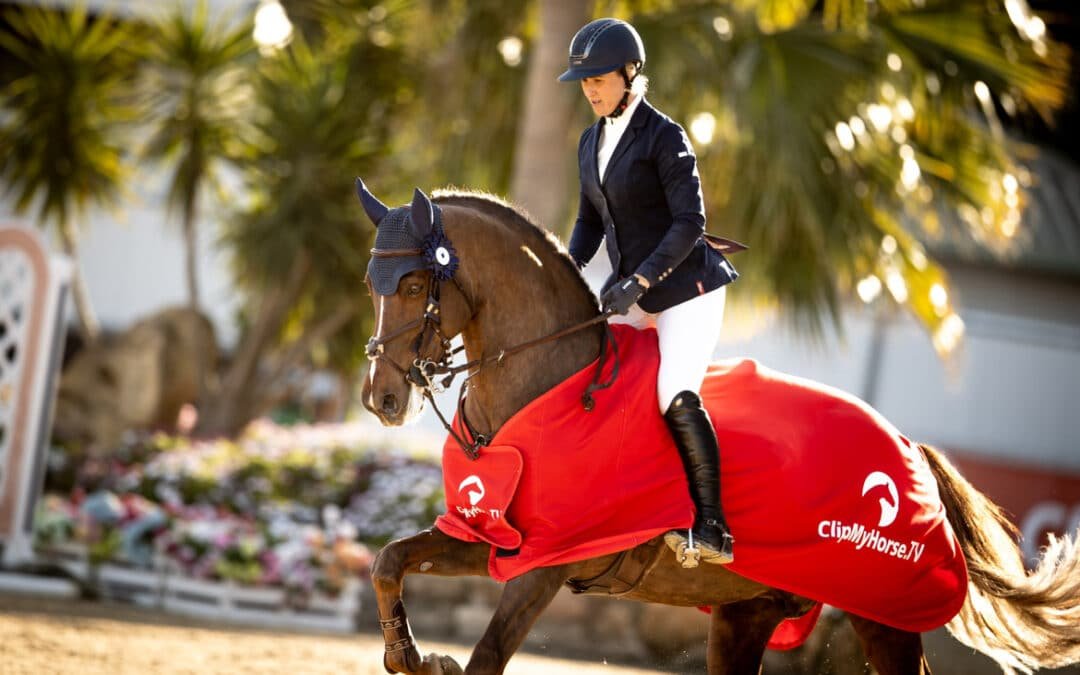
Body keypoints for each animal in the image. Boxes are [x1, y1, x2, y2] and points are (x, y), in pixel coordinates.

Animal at [357, 182, 1080, 675]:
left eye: (415, 282)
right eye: (372, 285)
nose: (382, 399)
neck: (542, 388)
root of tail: (912, 448)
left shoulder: (548, 565)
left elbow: (485, 657)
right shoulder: (490, 539)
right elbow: (389, 559)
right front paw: (409, 655)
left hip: (884, 619)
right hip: (745, 614)